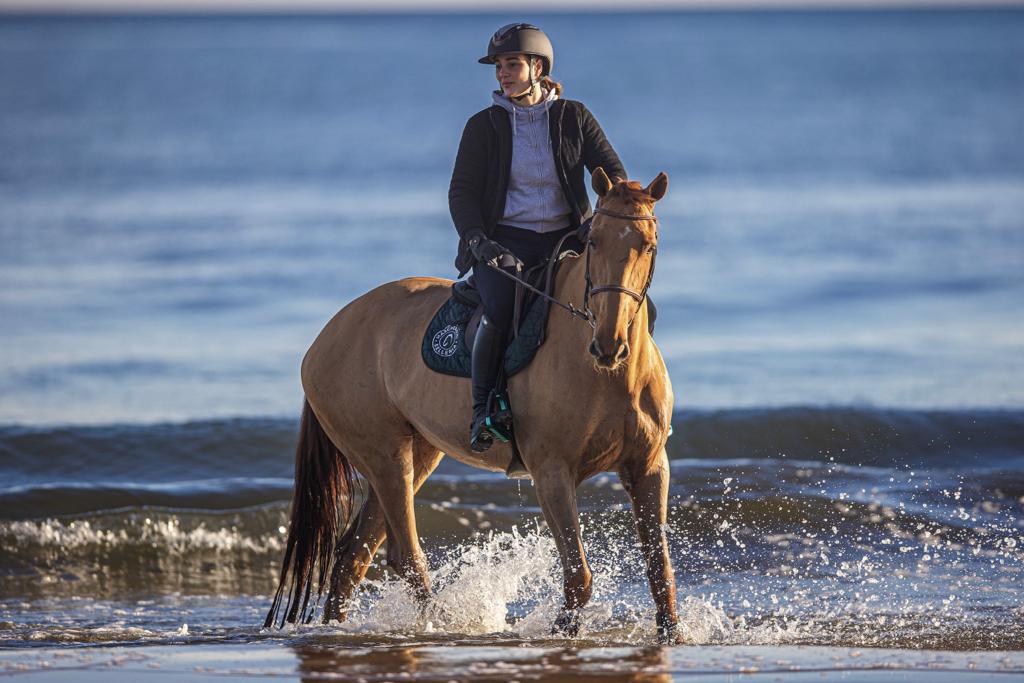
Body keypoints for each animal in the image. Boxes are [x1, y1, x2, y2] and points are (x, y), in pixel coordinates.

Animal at [264, 167, 684, 643]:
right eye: (594, 241)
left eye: (649, 245)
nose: (609, 344)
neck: (607, 374)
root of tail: (324, 339)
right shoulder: (552, 473)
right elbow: (579, 574)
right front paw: (561, 633)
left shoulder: (648, 467)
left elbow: (659, 569)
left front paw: (673, 635)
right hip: (386, 458)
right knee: (406, 558)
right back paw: (442, 625)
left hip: (417, 455)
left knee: (354, 558)